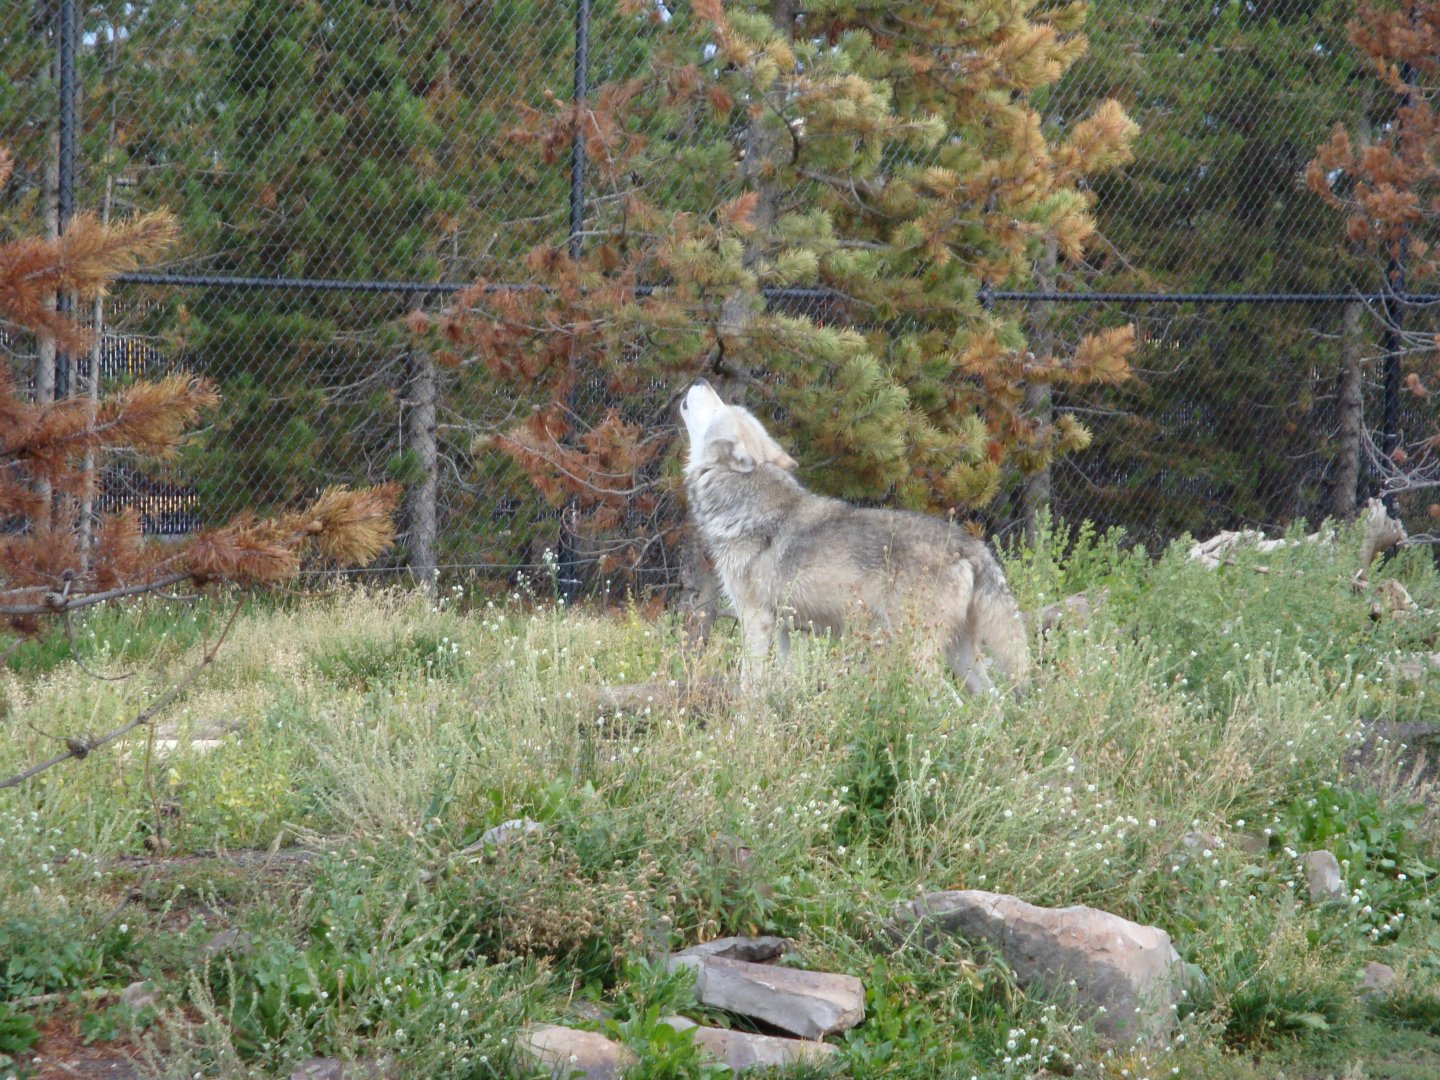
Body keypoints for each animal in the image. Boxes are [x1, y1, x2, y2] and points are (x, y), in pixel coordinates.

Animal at [680, 378, 1030, 695]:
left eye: (720, 408)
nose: (700, 379)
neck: (744, 502)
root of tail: (971, 546)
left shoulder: (755, 620)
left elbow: (750, 687)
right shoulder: (786, 630)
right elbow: (782, 681)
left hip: (917, 657)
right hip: (961, 657)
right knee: (994, 706)